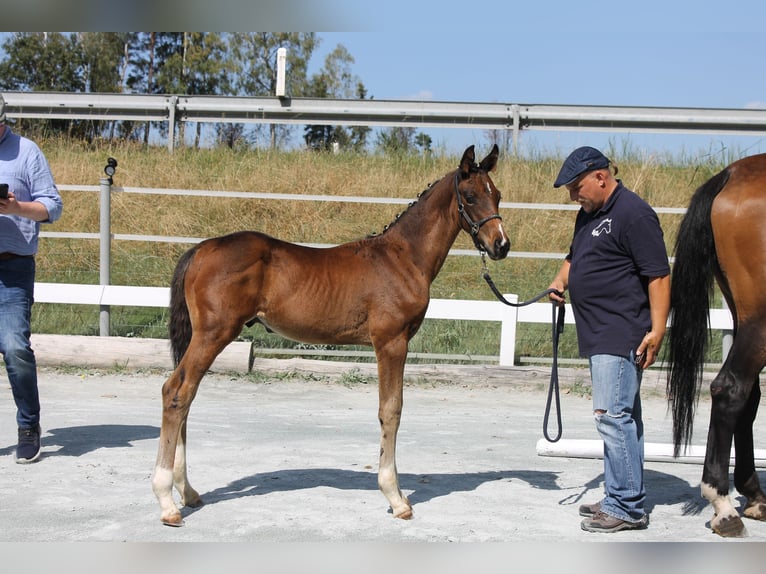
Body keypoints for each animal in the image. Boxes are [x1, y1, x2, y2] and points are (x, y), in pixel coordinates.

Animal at [150, 144, 510, 528]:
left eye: (497, 195)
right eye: (470, 196)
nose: (501, 244)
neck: (403, 258)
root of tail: (200, 249)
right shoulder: (391, 343)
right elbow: (391, 410)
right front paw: (396, 499)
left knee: (185, 395)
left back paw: (187, 492)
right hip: (213, 334)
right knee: (176, 392)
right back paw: (167, 503)